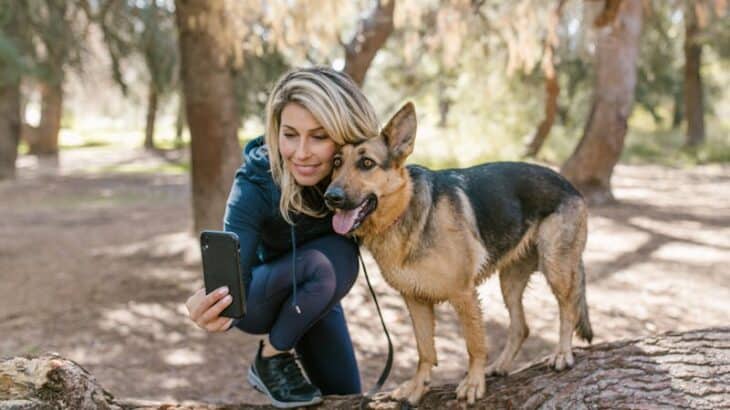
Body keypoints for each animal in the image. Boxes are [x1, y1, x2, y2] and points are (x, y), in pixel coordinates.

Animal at [324, 102, 592, 404]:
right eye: (337, 162)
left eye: (367, 163)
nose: (330, 197)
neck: (404, 209)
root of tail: (568, 183)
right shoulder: (415, 299)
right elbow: (425, 350)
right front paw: (417, 387)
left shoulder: (464, 294)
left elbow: (474, 345)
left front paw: (473, 383)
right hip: (510, 281)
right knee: (521, 327)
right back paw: (500, 366)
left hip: (556, 268)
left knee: (568, 310)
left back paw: (562, 354)